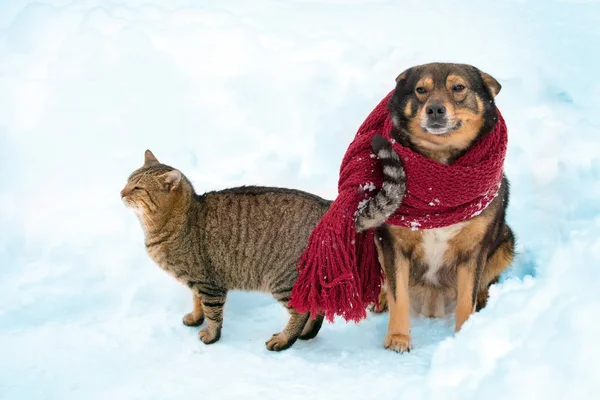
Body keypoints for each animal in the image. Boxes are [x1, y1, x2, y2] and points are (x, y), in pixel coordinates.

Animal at [120, 152, 330, 352]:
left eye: (138, 188)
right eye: (128, 181)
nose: (121, 192)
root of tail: (326, 204)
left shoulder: (209, 284)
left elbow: (212, 313)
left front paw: (211, 335)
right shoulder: (196, 280)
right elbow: (197, 301)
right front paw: (195, 318)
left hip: (283, 280)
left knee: (302, 311)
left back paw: (285, 339)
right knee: (318, 307)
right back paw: (307, 333)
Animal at [356, 61, 516, 352]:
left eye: (459, 87)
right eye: (421, 90)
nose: (435, 109)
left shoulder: (473, 249)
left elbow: (466, 299)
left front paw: (465, 337)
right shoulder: (393, 243)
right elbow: (399, 295)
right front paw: (398, 337)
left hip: (506, 242)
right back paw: (381, 298)